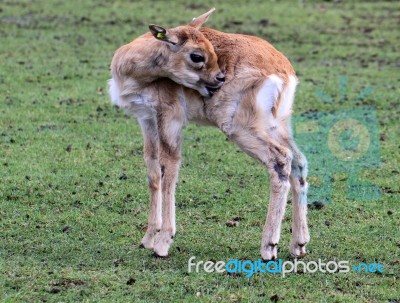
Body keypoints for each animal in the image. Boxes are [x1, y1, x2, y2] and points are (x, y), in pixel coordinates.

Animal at [109, 8, 310, 260]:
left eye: (211, 49)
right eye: (197, 55)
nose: (219, 78)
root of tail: (282, 69)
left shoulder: (171, 119)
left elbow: (169, 170)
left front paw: (162, 244)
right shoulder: (146, 119)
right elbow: (153, 173)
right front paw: (147, 239)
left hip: (240, 129)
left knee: (280, 159)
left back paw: (269, 247)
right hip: (276, 126)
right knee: (299, 162)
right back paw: (299, 245)